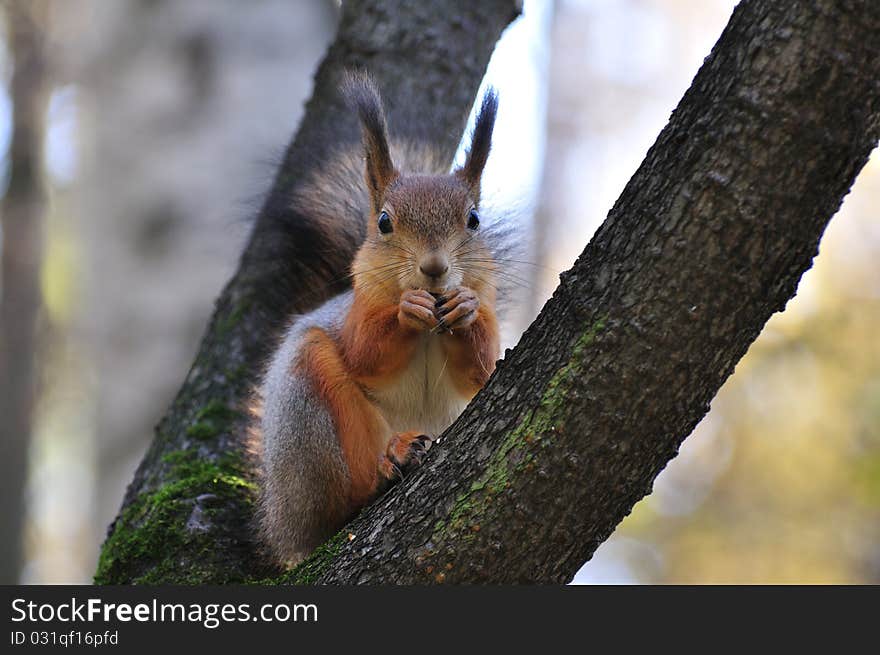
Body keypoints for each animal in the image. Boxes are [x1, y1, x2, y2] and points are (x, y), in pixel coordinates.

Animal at [251, 73, 506, 568]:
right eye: (385, 222)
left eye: (474, 219)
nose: (434, 268)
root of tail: (284, 526)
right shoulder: (357, 314)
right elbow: (365, 352)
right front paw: (408, 311)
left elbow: (482, 371)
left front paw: (465, 309)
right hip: (308, 422)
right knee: (341, 501)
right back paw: (387, 468)